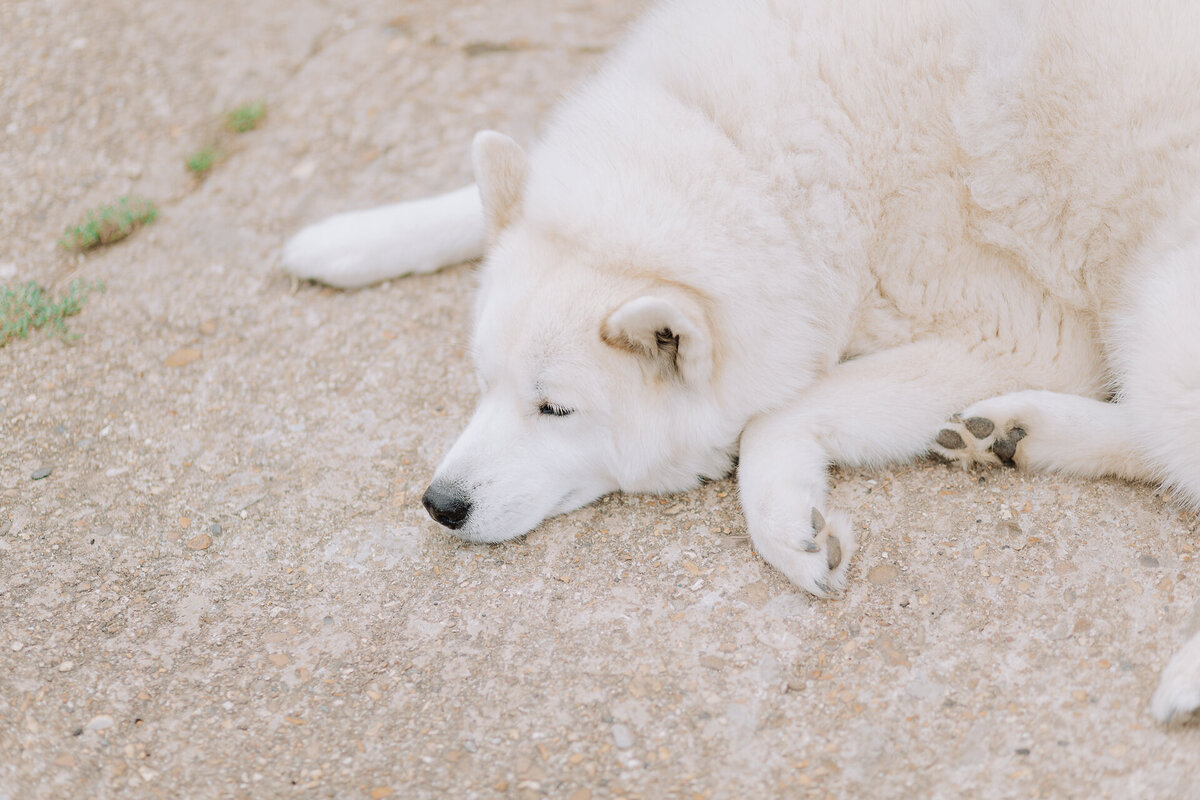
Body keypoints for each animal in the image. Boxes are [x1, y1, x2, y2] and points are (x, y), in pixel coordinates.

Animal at [283, 0, 1200, 724]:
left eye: (556, 410)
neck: (760, 154)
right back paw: (1018, 431)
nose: (441, 504)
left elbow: (773, 419)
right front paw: (350, 236)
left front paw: (786, 526)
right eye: (483, 384)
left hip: (1156, 312)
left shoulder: (1024, 334)